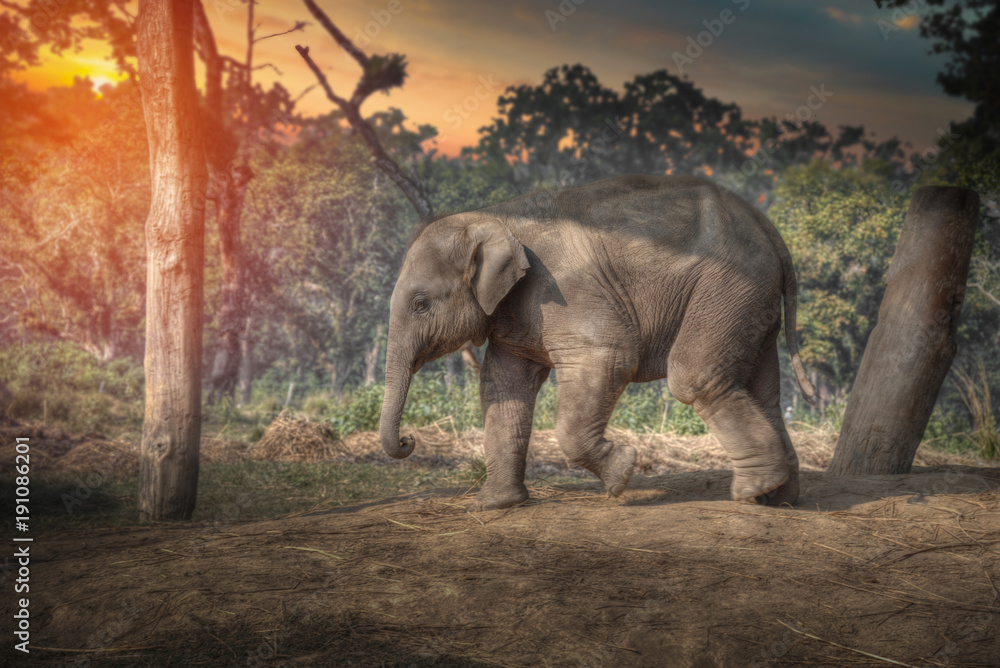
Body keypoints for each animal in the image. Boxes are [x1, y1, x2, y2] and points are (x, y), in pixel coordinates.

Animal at [379, 174, 817, 510]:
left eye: (420, 304)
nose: (408, 439)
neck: (494, 215)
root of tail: (768, 227)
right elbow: (503, 388)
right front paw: (494, 505)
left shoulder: (563, 290)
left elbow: (610, 357)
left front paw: (622, 472)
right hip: (752, 300)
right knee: (762, 391)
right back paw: (778, 498)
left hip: (729, 287)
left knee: (694, 376)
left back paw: (753, 491)